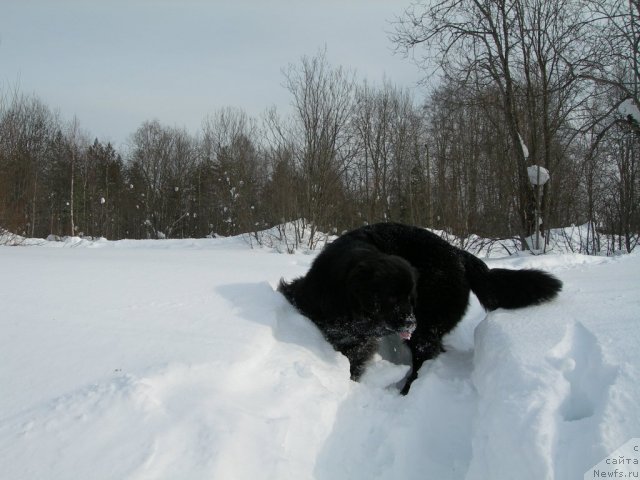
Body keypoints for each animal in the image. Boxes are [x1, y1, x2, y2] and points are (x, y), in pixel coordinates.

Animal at [278, 221, 564, 394]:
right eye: (392, 298)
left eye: (410, 298)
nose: (410, 322)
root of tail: (458, 254)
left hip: (428, 327)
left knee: (423, 359)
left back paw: (406, 392)